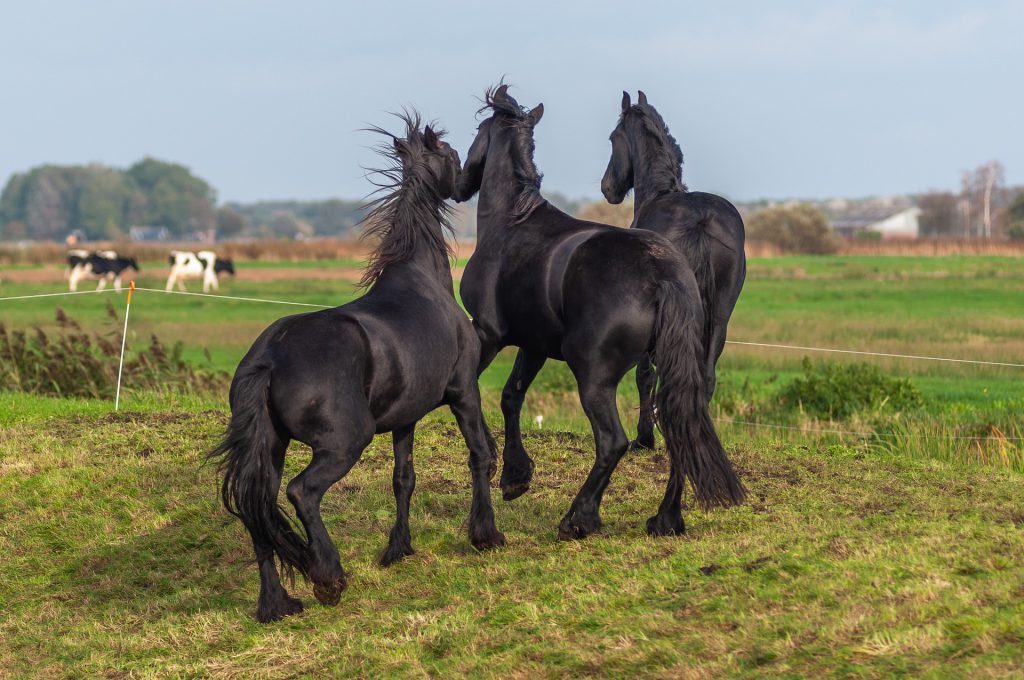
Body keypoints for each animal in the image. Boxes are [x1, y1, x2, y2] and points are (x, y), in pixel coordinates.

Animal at [209, 114, 505, 622]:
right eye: (449, 154)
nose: (470, 181)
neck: (422, 282)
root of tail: (269, 356)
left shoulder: (406, 418)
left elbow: (403, 479)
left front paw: (398, 550)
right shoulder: (465, 391)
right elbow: (480, 454)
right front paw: (485, 535)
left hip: (271, 448)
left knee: (259, 511)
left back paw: (277, 604)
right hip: (344, 443)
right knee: (301, 493)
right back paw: (329, 577)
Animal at [598, 90, 745, 450]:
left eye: (613, 138)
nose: (607, 188)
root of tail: (700, 221)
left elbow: (645, 375)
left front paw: (645, 437)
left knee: (653, 374)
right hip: (719, 317)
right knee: (706, 376)